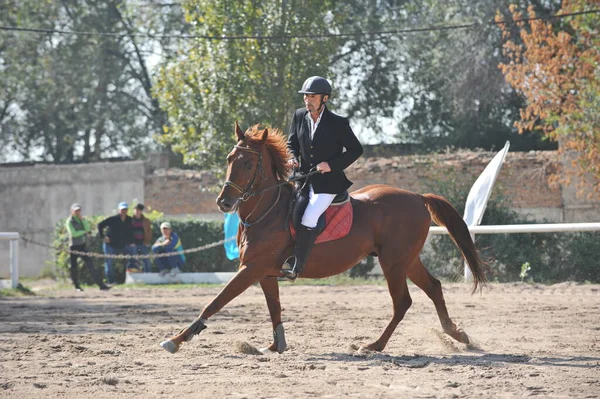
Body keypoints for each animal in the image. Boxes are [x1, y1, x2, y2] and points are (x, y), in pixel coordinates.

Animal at [159, 124, 488, 356]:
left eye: (249, 165)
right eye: (229, 159)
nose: (224, 203)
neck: (267, 210)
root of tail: (418, 197)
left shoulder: (250, 268)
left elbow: (214, 302)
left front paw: (177, 339)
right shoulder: (264, 272)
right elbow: (274, 307)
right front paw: (275, 345)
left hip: (393, 263)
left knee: (402, 302)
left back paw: (373, 346)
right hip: (406, 260)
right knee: (433, 287)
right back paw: (457, 334)